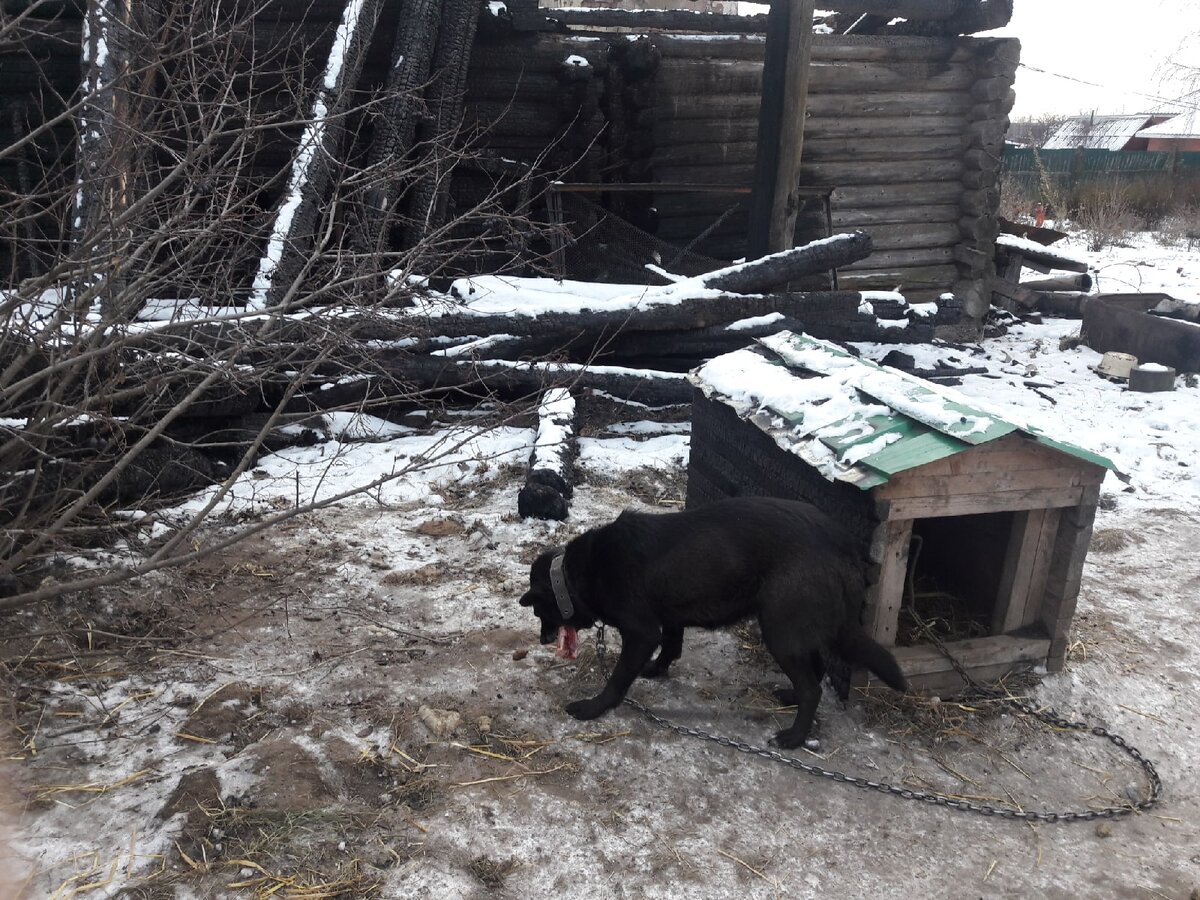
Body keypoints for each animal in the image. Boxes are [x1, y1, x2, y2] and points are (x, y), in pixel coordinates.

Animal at [520, 496, 902, 748]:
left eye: (539, 613)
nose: (542, 640)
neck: (579, 572)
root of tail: (843, 545)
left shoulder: (642, 632)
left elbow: (617, 679)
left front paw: (594, 707)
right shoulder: (669, 616)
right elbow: (671, 645)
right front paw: (656, 669)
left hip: (780, 630)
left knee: (813, 688)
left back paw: (794, 737)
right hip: (795, 627)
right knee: (816, 670)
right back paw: (790, 696)